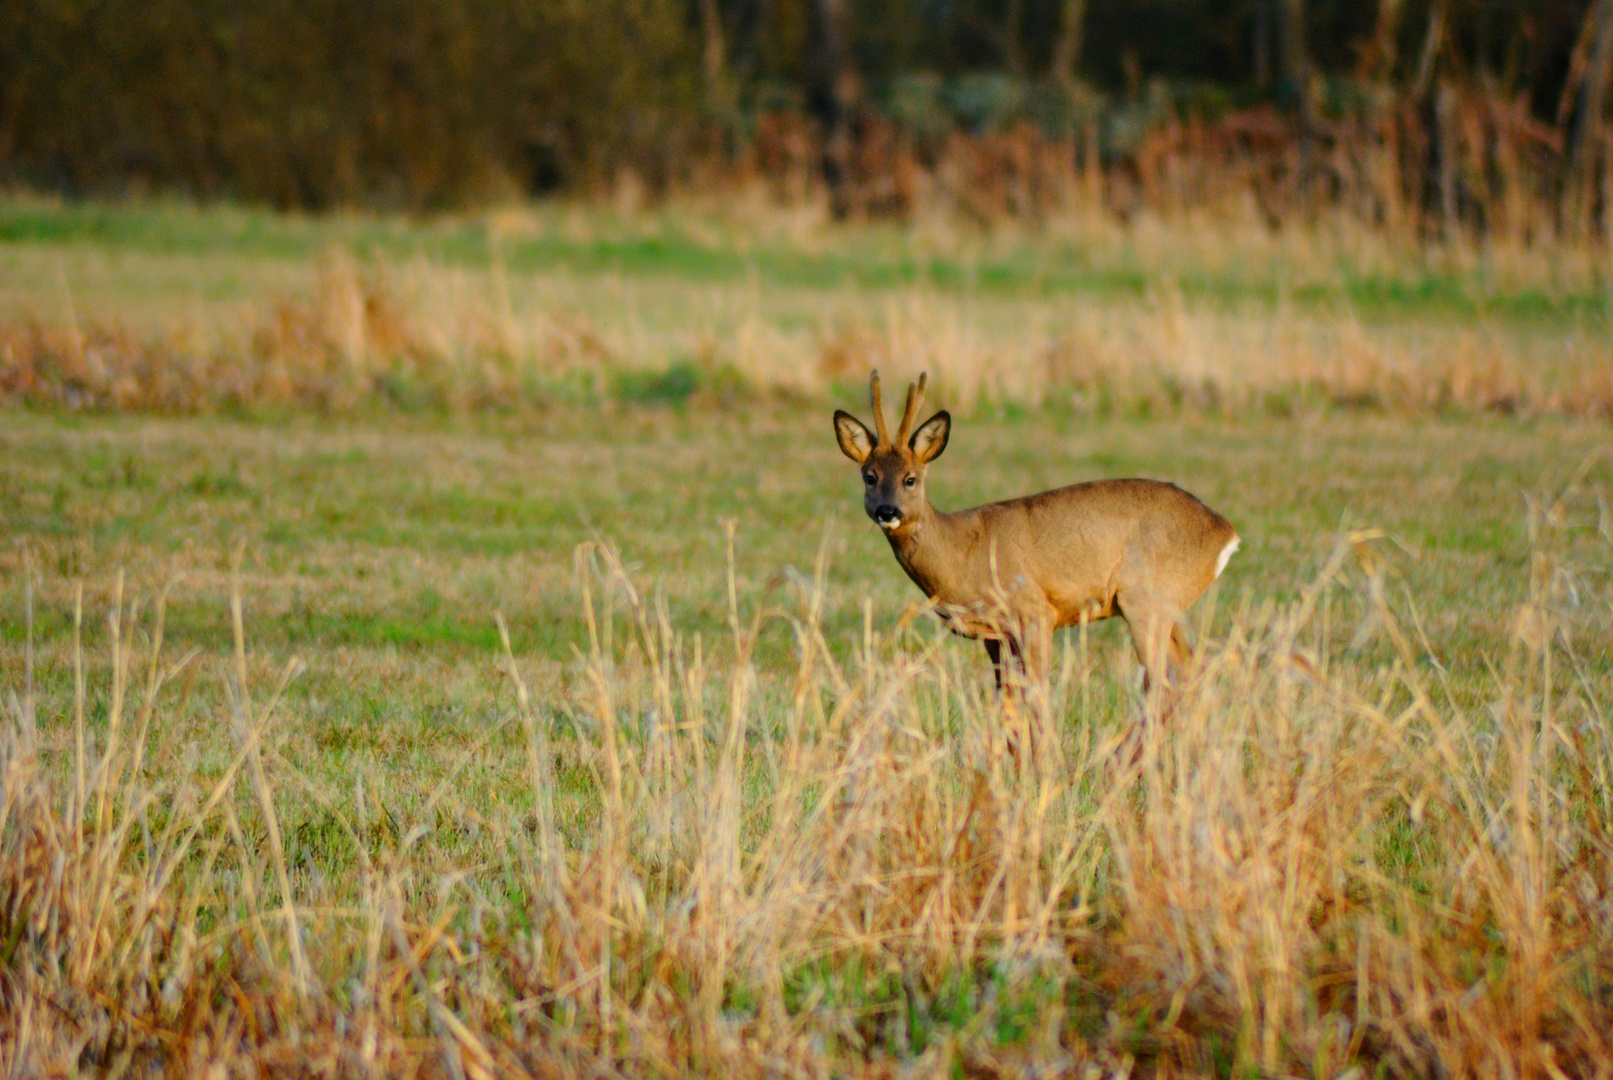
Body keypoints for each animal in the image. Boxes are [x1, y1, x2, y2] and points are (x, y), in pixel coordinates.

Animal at [838, 370, 1238, 693]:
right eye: (870, 476)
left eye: (910, 479)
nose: (887, 511)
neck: (961, 551)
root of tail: (1226, 532)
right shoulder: (994, 635)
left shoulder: (1035, 611)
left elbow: (1036, 697)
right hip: (1166, 606)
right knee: (1192, 671)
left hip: (1145, 597)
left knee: (1160, 684)